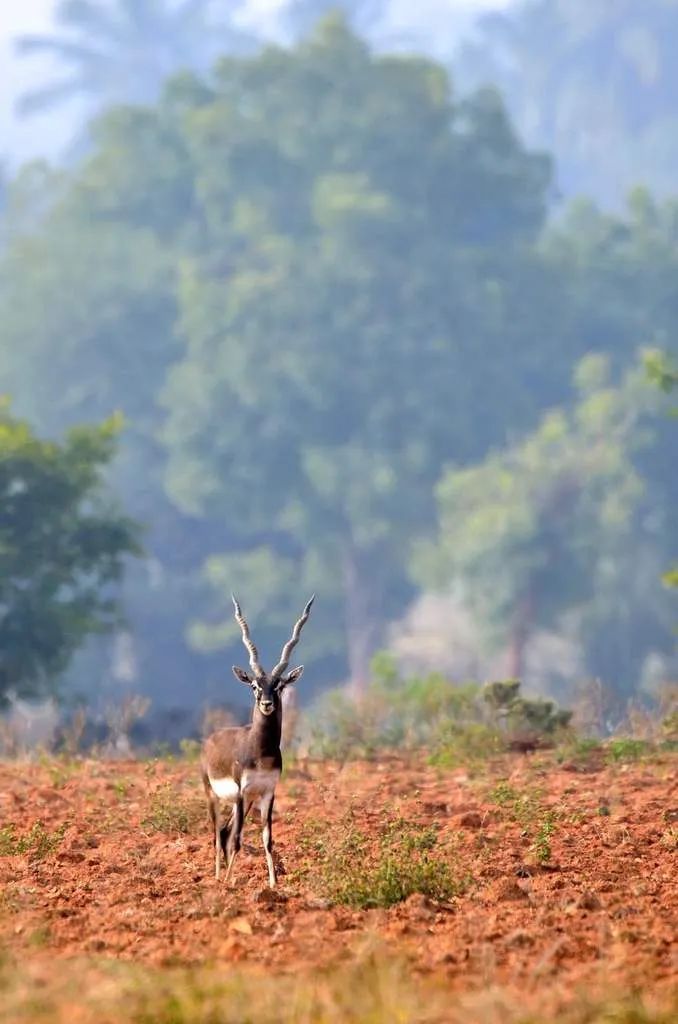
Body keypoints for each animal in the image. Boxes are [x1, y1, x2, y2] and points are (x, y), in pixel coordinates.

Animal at [201, 598, 315, 884]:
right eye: (254, 685)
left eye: (279, 685)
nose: (266, 703)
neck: (260, 750)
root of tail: (210, 740)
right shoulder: (242, 792)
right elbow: (238, 840)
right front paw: (228, 883)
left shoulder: (267, 792)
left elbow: (267, 839)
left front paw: (273, 884)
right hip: (214, 795)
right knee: (217, 834)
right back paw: (218, 879)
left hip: (243, 801)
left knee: (224, 831)